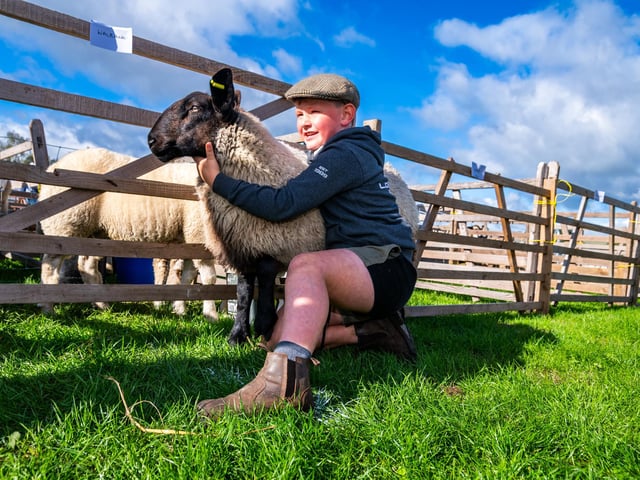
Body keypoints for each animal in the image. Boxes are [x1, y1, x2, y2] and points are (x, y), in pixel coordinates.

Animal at [38, 148, 220, 319]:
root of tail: (54, 166)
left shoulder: (192, 240)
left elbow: (188, 278)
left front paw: (180, 310)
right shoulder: (200, 236)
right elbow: (209, 278)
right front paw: (211, 316)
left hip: (95, 232)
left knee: (86, 265)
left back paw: (101, 305)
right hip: (64, 226)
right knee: (50, 266)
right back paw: (48, 308)